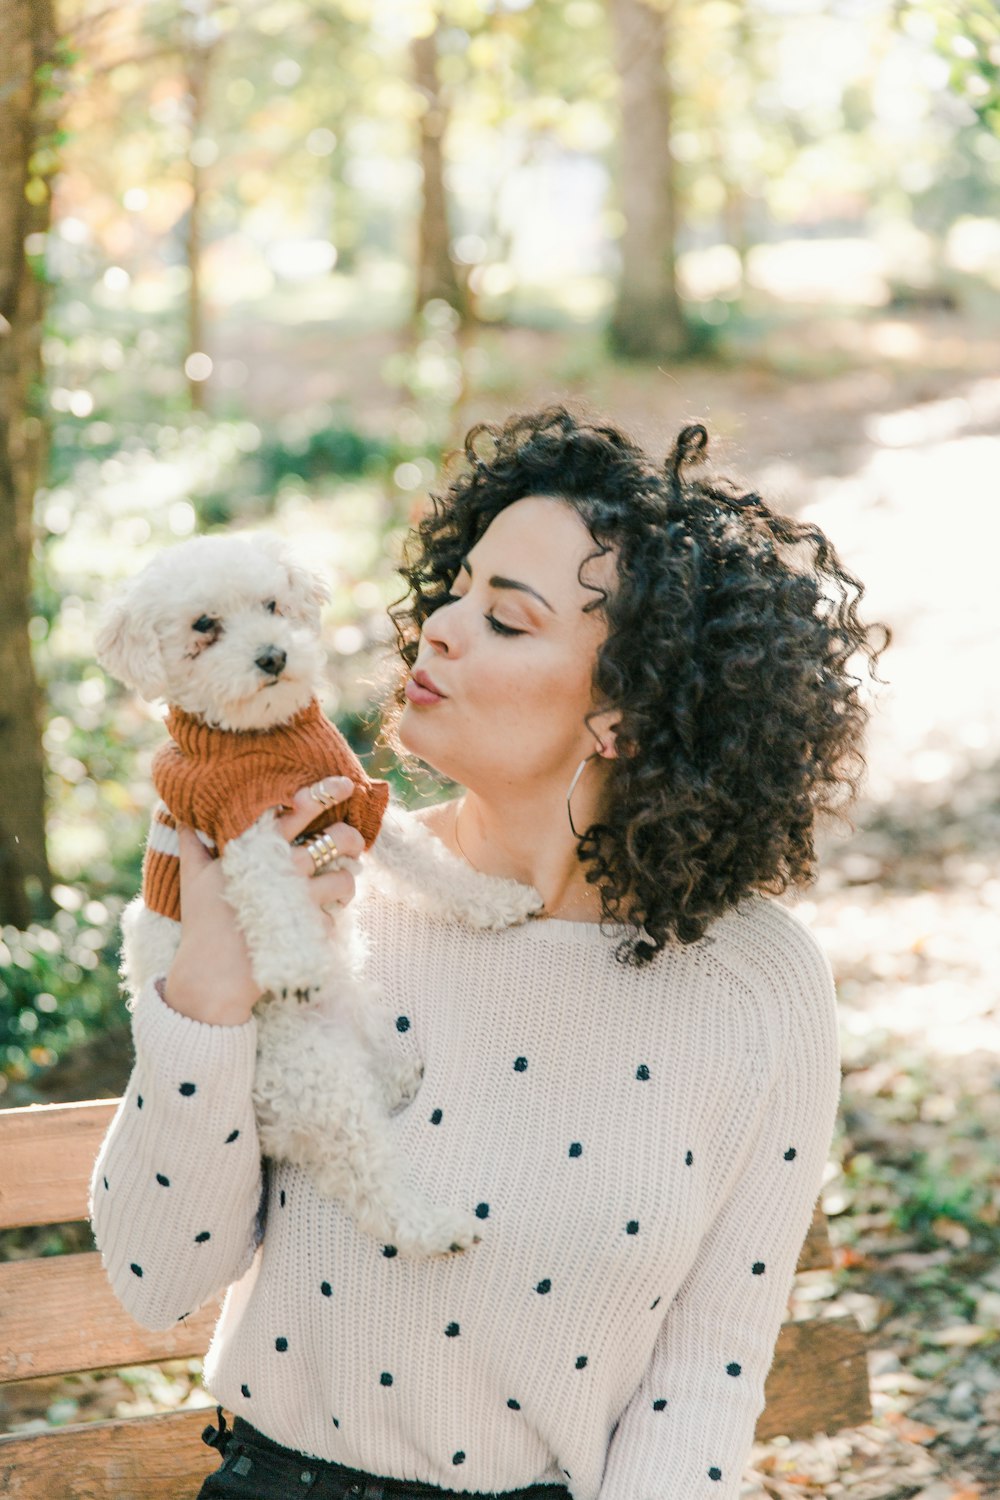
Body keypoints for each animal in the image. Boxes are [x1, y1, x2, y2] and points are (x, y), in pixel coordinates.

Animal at [94, 534, 488, 1260]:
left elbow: (425, 858)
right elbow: (274, 897)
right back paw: (434, 1228)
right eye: (204, 625)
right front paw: (295, 966)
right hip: (314, 1074)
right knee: (369, 1181)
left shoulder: (355, 795)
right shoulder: (242, 827)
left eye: (273, 605)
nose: (273, 656)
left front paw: (498, 899)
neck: (264, 735)